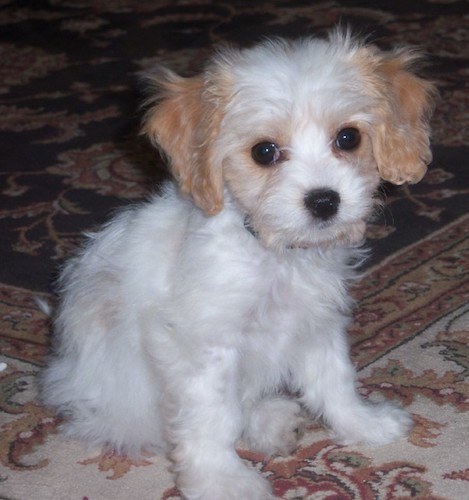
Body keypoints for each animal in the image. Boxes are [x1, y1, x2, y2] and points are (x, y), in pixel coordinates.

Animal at [43, 29, 436, 498]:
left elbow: (335, 381)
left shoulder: (317, 324)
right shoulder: (206, 347)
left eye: (348, 138)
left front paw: (364, 424)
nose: (324, 201)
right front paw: (222, 479)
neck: (275, 256)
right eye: (264, 152)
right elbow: (214, 419)